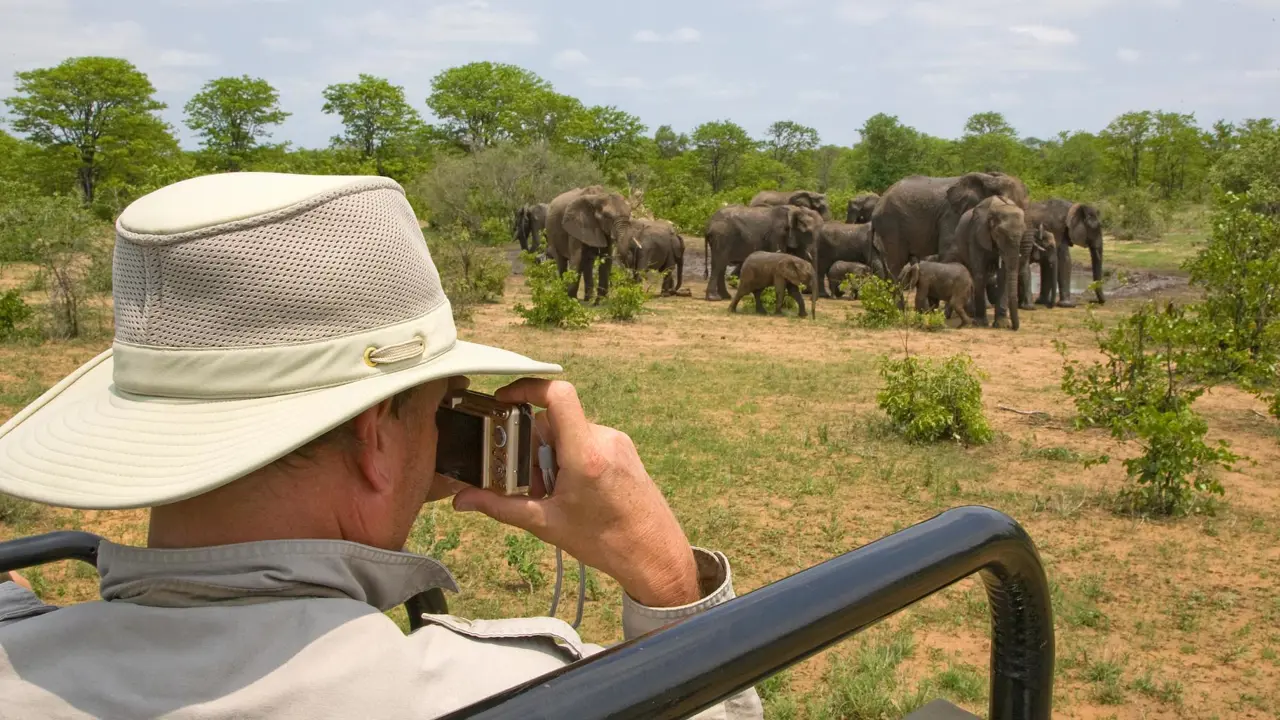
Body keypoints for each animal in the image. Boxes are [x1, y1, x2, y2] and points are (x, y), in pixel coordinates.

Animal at [942, 196, 1029, 330]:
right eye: (999, 234)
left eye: (1023, 233)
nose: (1014, 328)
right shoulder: (976, 234)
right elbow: (979, 273)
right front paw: (980, 323)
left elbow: (1003, 275)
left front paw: (1001, 325)